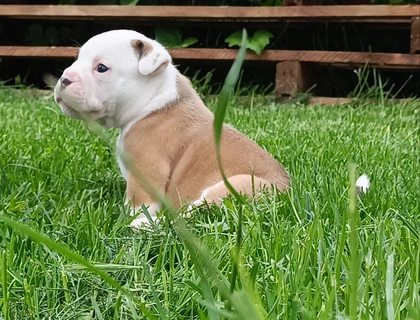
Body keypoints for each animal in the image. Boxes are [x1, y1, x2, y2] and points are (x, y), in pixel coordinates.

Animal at [54, 30, 290, 228]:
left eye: (101, 67)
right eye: (77, 59)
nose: (64, 79)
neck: (152, 101)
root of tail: (286, 194)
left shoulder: (146, 169)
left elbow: (139, 203)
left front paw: (132, 218)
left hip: (236, 187)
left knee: (189, 218)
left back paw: (145, 226)